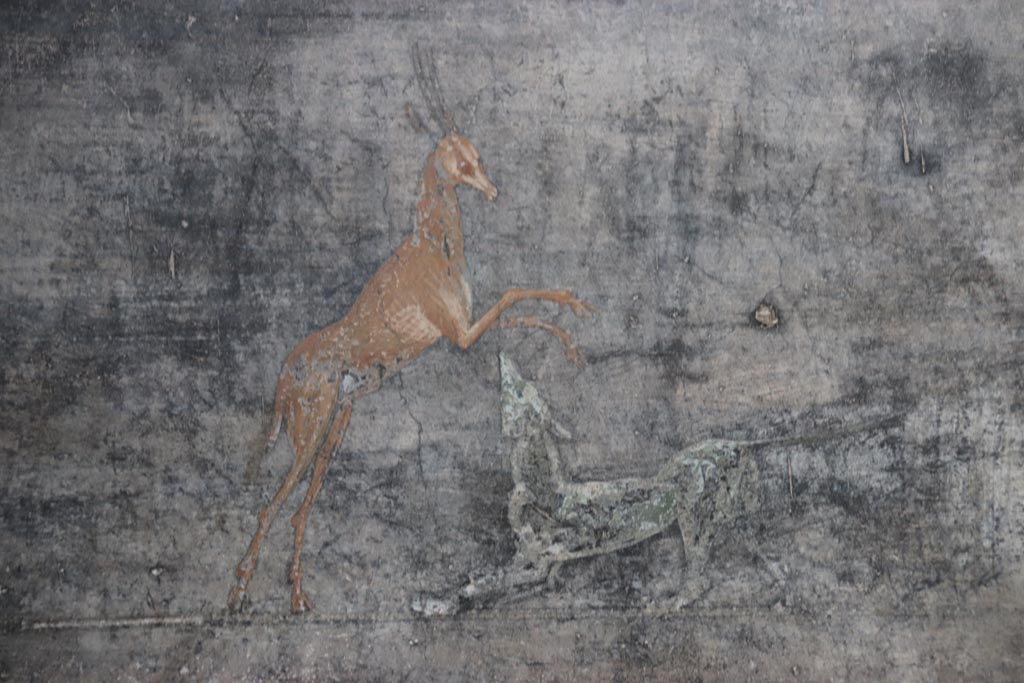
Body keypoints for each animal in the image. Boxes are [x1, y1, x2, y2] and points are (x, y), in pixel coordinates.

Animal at [227, 47, 595, 613]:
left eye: (478, 154)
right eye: (460, 162)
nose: (492, 190)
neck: (432, 247)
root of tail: (284, 377)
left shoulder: (465, 328)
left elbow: (518, 306)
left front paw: (574, 330)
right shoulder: (460, 335)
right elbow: (513, 294)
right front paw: (576, 316)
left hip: (339, 420)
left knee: (301, 505)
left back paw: (297, 592)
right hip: (311, 427)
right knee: (273, 505)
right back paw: (241, 590)